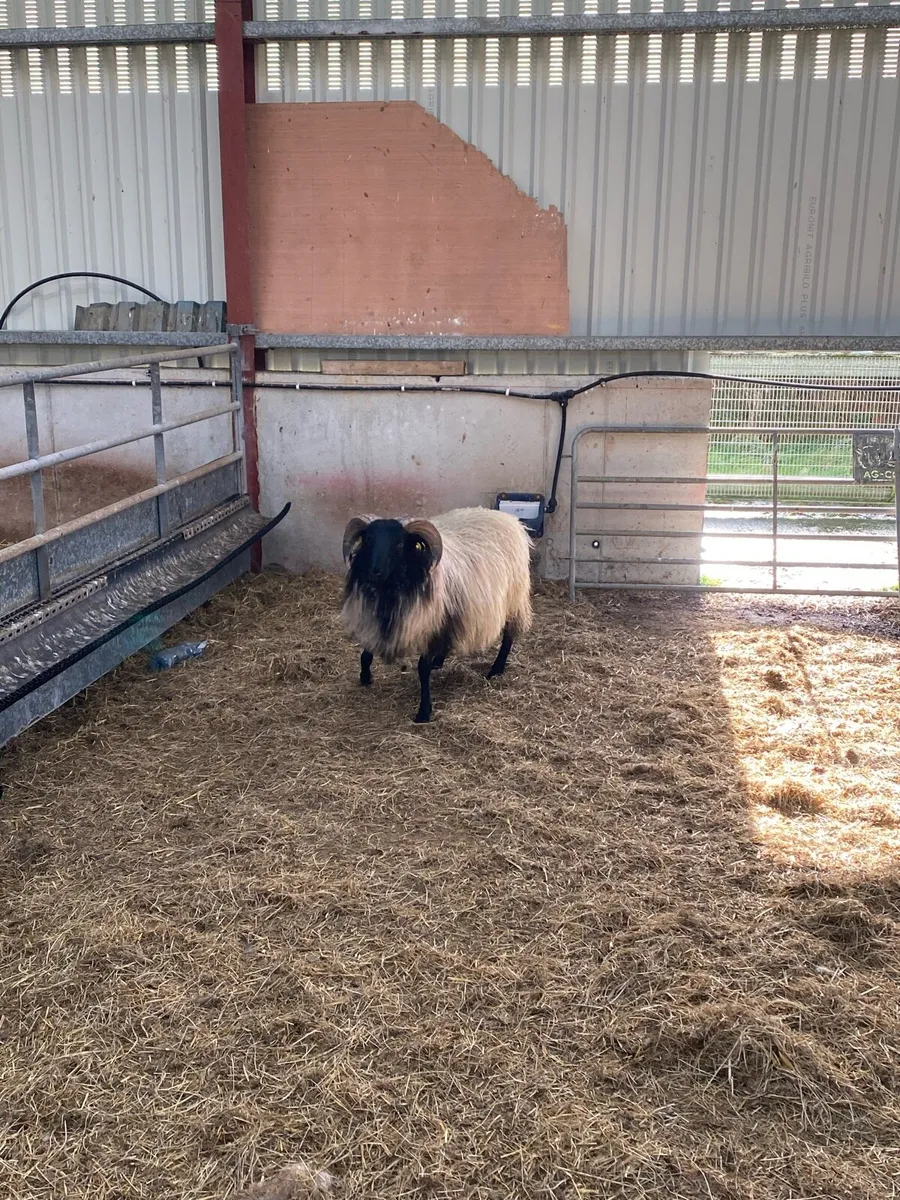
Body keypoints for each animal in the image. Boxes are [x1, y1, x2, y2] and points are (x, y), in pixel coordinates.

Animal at [341, 507, 533, 723]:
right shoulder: (376, 619)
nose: (375, 572)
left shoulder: (430, 624)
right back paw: (439, 661)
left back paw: (496, 669)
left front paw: (424, 711)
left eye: (399, 544)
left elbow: (422, 669)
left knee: (508, 635)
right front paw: (365, 677)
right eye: (368, 539)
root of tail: (510, 519)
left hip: (513, 599)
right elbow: (366, 653)